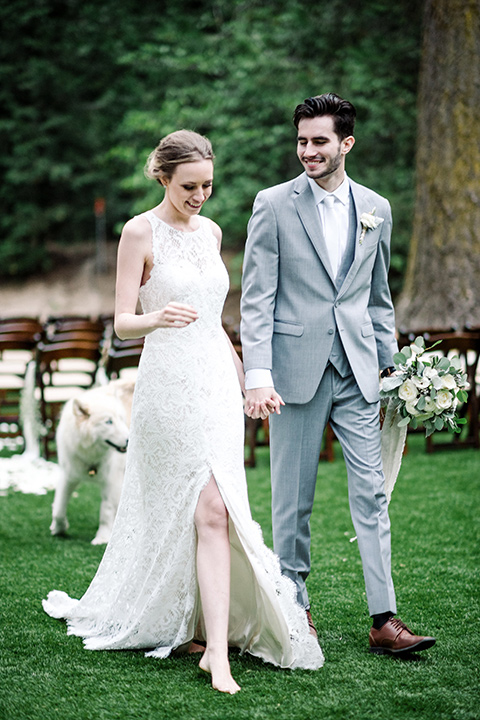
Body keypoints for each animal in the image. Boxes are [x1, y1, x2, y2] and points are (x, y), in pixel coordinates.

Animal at [49, 380, 133, 544]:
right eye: (108, 422)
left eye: (121, 419)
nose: (129, 440)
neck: (90, 453)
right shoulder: (69, 475)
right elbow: (59, 508)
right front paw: (59, 528)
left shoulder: (111, 481)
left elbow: (106, 510)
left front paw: (102, 537)